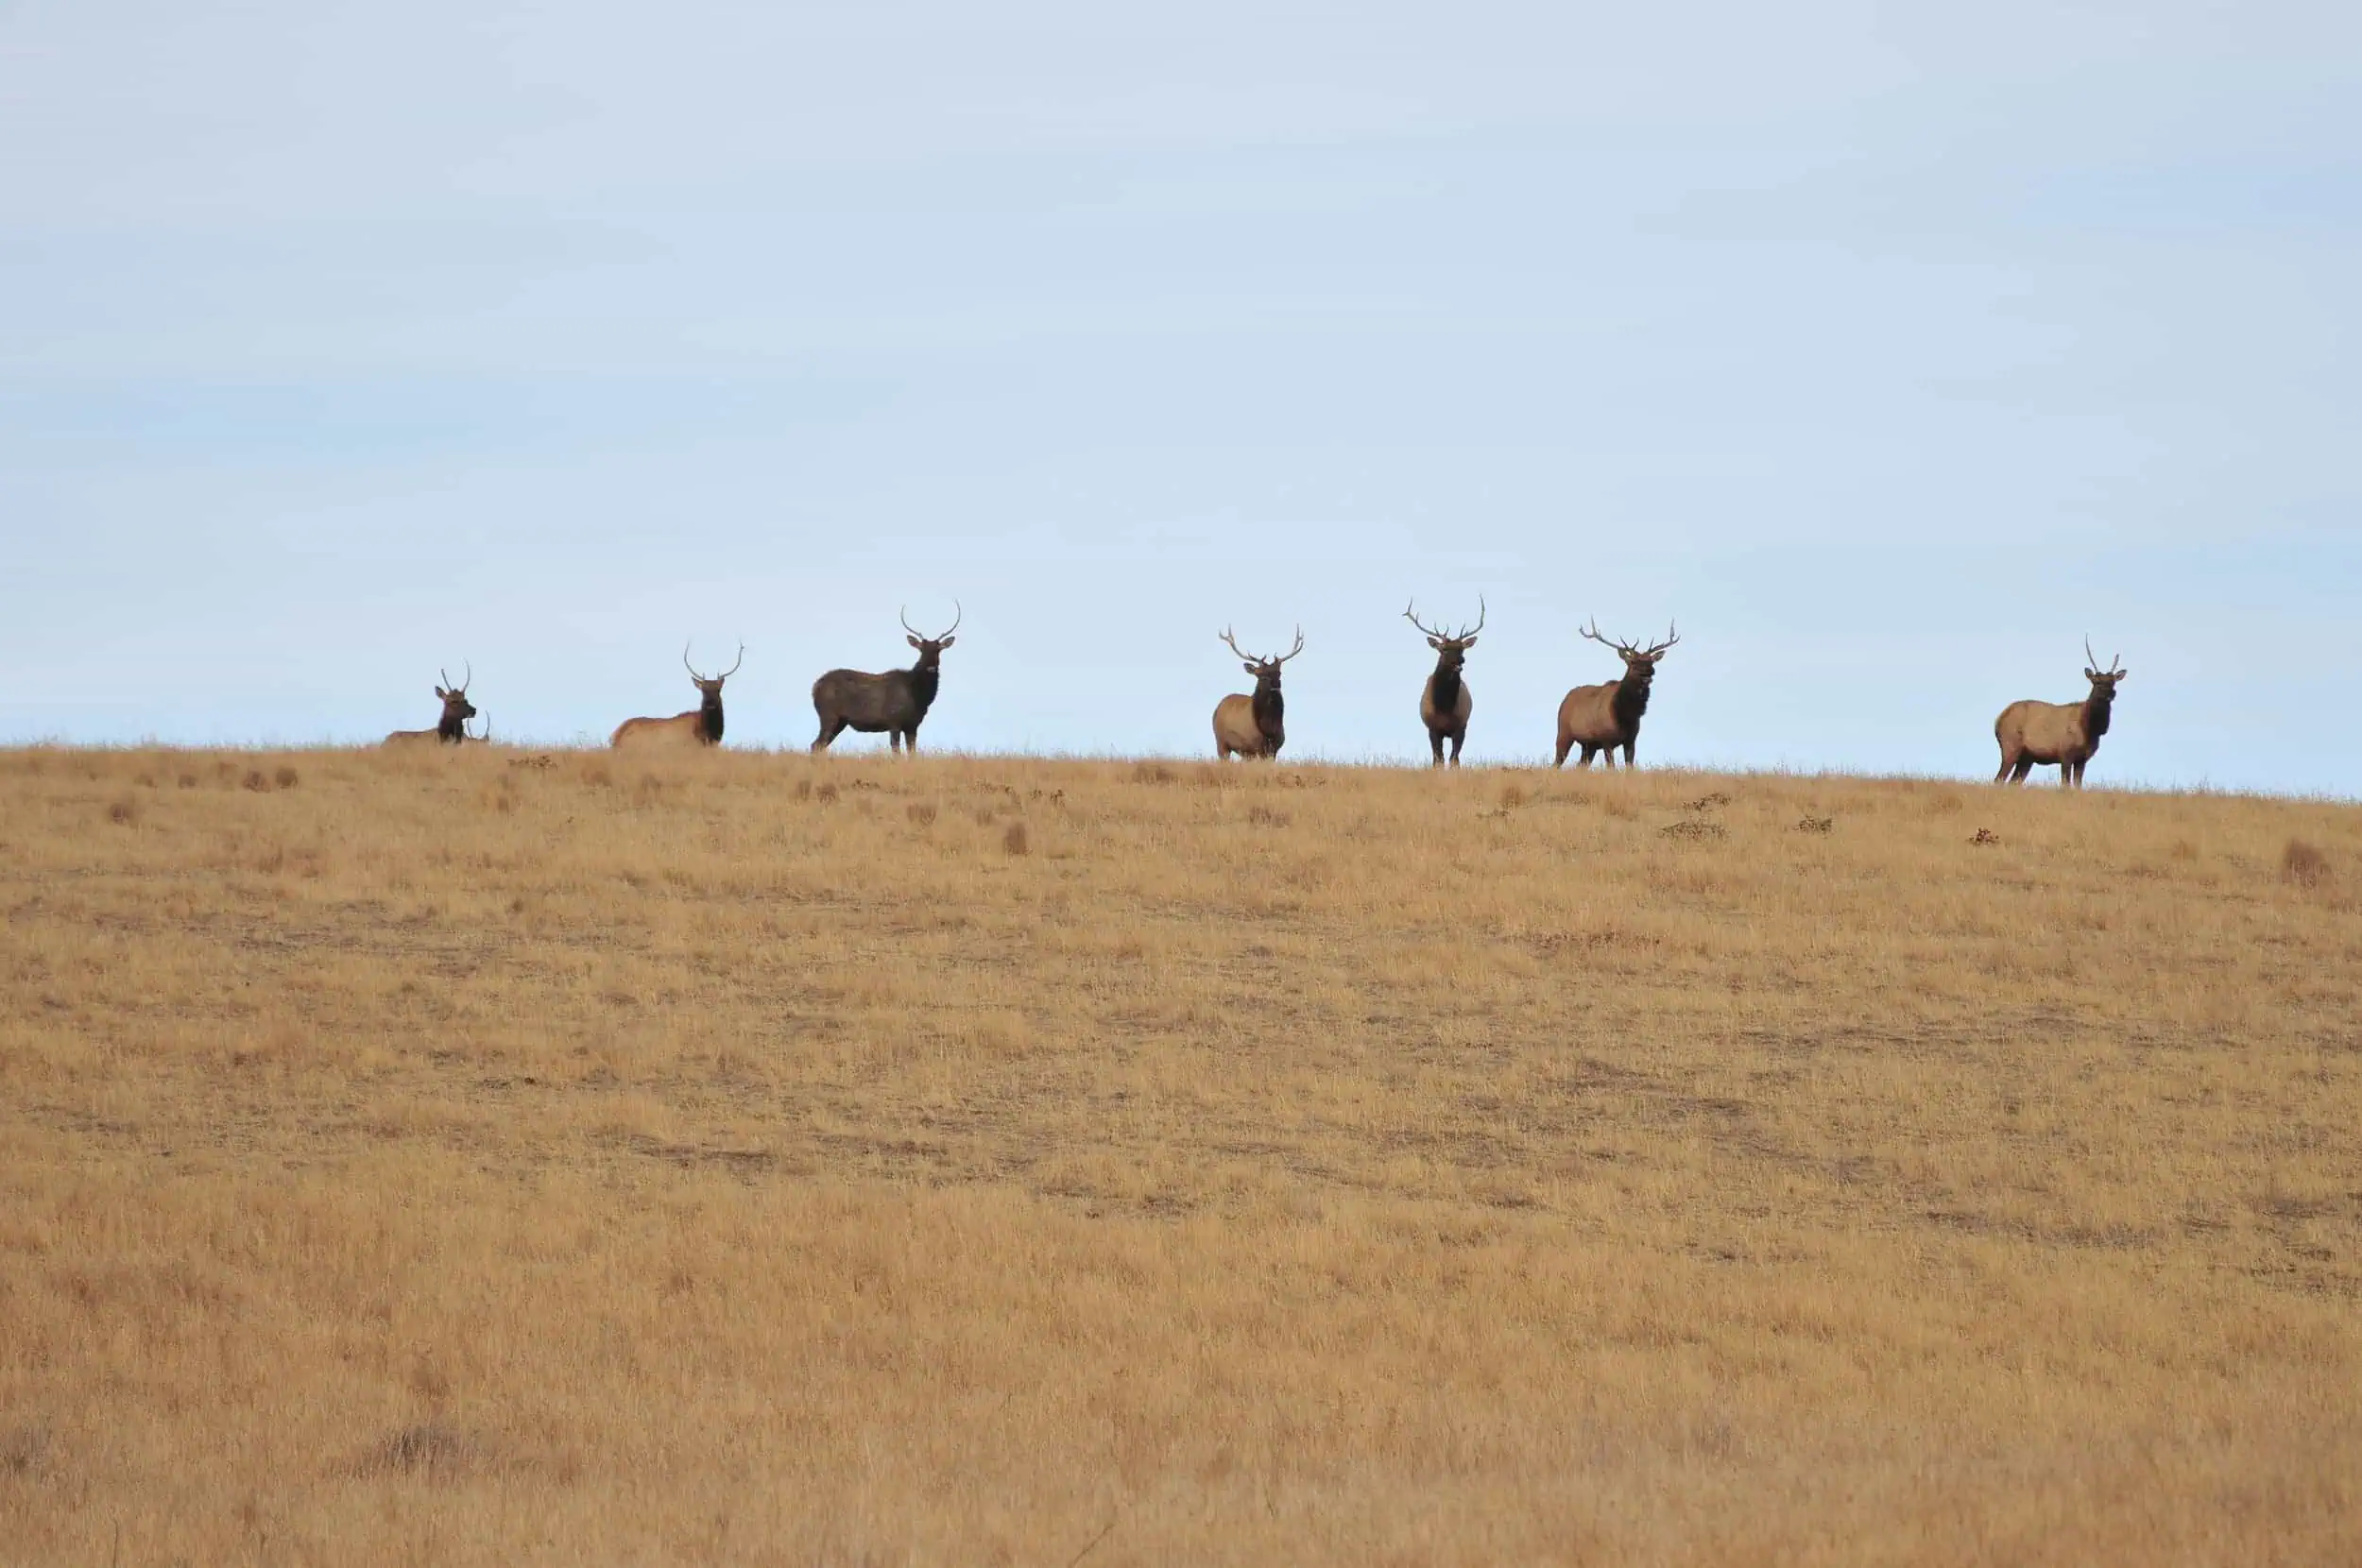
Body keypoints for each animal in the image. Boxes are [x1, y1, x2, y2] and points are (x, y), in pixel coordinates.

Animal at [810, 605, 960, 754]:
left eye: (938, 650)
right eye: (921, 650)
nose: (931, 668)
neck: (919, 696)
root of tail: (815, 687)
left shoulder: (912, 725)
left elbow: (912, 753)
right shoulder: (894, 721)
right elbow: (896, 752)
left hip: (840, 721)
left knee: (818, 745)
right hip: (829, 715)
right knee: (816, 744)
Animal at [1212, 625, 1303, 760]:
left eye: (1279, 673)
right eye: (1261, 675)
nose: (1275, 686)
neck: (1269, 729)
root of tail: (1218, 707)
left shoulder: (1274, 749)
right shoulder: (1255, 747)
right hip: (1221, 742)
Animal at [1403, 597, 1483, 767]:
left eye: (1461, 649)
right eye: (1444, 649)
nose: (1460, 660)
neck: (1444, 709)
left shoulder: (1461, 726)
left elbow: (1454, 760)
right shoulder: (1433, 728)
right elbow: (1438, 759)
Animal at [1554, 620, 1678, 768]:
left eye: (1651, 661)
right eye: (1633, 662)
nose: (1649, 672)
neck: (1625, 715)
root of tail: (1565, 700)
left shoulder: (1631, 740)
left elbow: (1629, 767)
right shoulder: (1606, 739)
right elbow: (1611, 767)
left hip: (1589, 745)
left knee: (1581, 766)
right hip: (1564, 733)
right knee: (1556, 763)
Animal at [1994, 639, 2128, 788]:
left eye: (2113, 682)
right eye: (2097, 682)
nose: (2111, 693)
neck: (2090, 729)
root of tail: (1998, 720)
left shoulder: (2082, 759)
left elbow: (2078, 786)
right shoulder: (2065, 754)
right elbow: (2065, 784)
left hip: (2027, 758)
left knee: (2013, 782)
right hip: (2010, 746)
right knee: (1998, 779)